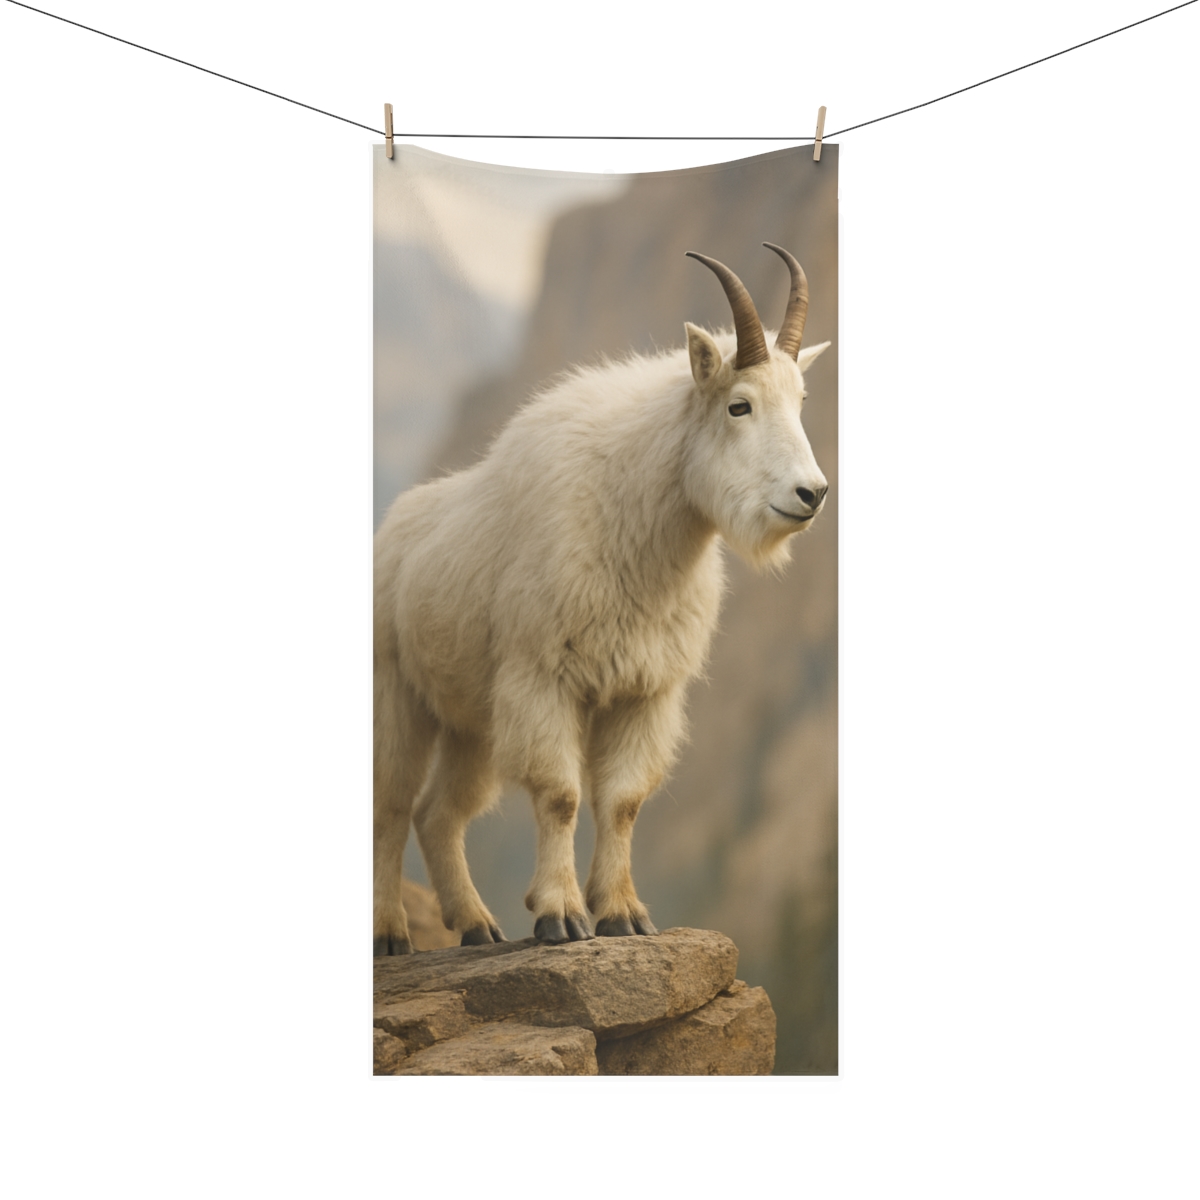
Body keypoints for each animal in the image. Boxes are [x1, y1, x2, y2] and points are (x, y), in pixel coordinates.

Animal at [374, 243, 830, 952]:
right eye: (740, 406)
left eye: (803, 400)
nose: (812, 493)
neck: (638, 521)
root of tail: (392, 529)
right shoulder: (543, 679)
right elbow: (560, 794)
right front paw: (560, 916)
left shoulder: (646, 692)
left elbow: (623, 800)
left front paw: (623, 914)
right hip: (398, 694)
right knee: (392, 804)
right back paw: (392, 933)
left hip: (470, 721)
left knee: (438, 812)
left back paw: (477, 925)